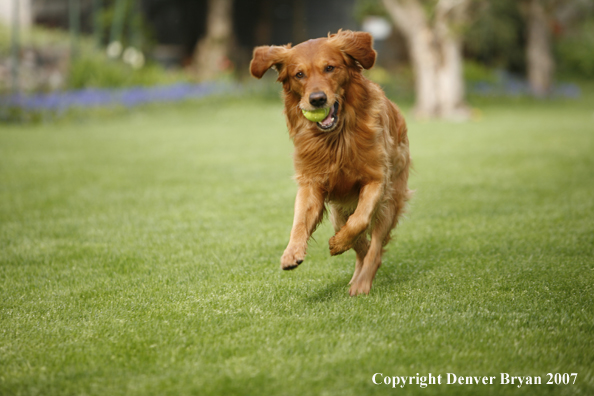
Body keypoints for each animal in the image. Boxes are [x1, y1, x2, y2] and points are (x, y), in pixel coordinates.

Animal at [247, 29, 410, 296]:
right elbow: (299, 221)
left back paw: (362, 282)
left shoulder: (377, 179)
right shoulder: (311, 184)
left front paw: (338, 243)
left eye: (330, 68)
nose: (317, 100)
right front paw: (291, 252)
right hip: (338, 212)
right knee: (362, 248)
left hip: (391, 200)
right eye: (299, 74)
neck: (337, 138)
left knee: (374, 247)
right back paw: (356, 275)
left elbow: (360, 220)